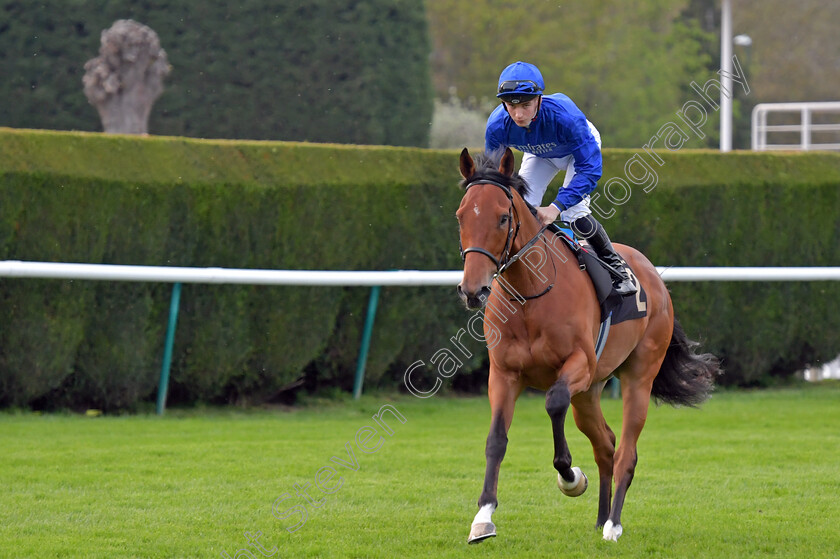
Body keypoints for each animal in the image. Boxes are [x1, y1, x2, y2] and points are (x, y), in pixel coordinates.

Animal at [456, 148, 720, 544]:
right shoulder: (503, 374)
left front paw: (570, 477)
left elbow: (553, 402)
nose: (473, 290)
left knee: (626, 451)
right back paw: (601, 517)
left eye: (503, 217)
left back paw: (613, 525)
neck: (531, 294)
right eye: (461, 216)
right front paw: (483, 517)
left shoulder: (578, 363)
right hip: (589, 392)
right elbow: (496, 440)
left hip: (637, 377)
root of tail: (655, 277)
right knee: (605, 445)